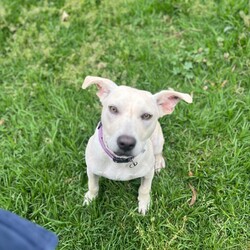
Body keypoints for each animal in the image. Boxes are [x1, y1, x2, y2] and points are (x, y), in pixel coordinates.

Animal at [81, 75, 191, 214]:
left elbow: (144, 189)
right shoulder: (91, 170)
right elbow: (93, 185)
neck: (119, 160)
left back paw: (158, 162)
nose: (126, 143)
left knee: (158, 152)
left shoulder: (148, 174)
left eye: (147, 116)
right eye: (113, 109)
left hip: (158, 139)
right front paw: (90, 199)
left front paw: (144, 204)